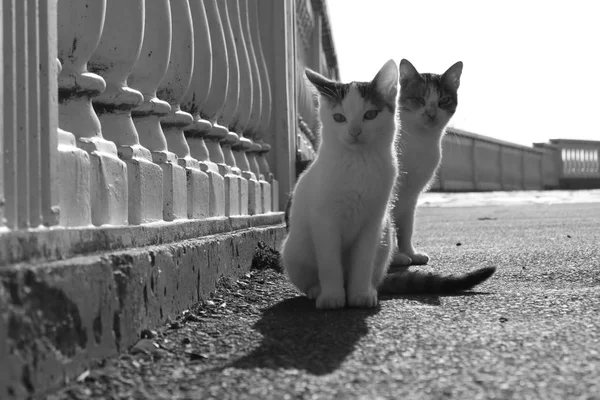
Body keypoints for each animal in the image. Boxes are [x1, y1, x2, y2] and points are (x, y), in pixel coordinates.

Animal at [394, 58, 464, 266]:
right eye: (419, 99)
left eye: (443, 100)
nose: (431, 114)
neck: (420, 142)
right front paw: (395, 256)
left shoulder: (411, 195)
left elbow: (406, 228)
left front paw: (410, 253)